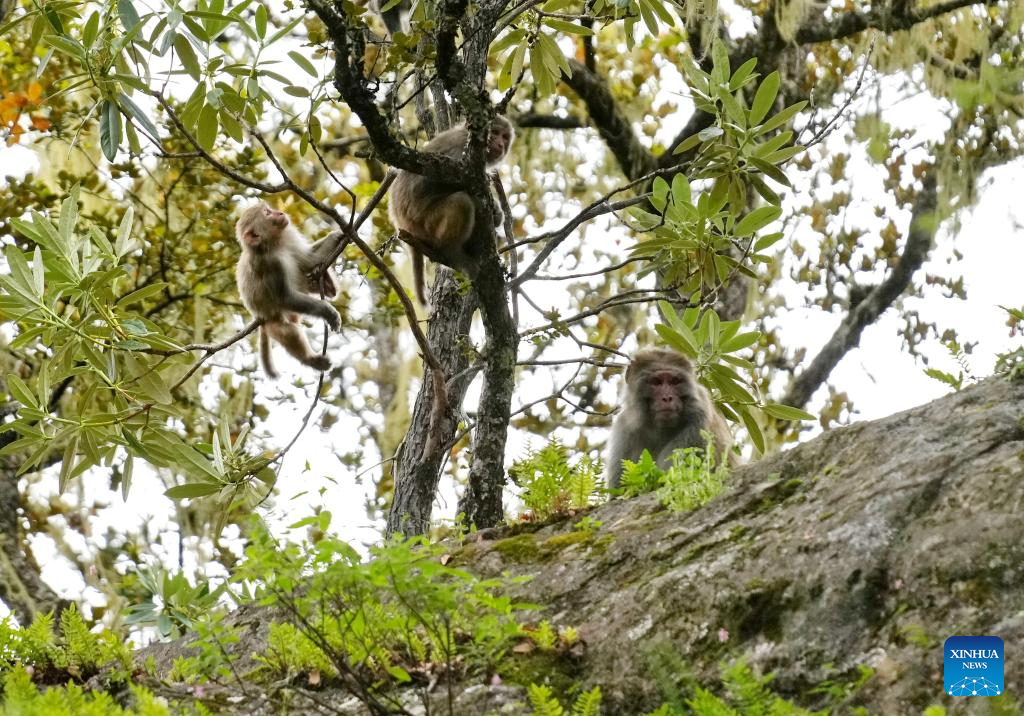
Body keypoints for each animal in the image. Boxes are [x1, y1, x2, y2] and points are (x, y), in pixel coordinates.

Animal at [234, 202, 342, 381]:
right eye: (267, 213)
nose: (279, 212)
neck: (274, 244)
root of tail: (259, 317)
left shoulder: (288, 239)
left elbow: (309, 259)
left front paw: (339, 235)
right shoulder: (270, 264)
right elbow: (285, 298)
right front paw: (328, 312)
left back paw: (327, 284)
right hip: (272, 319)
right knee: (289, 331)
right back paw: (311, 360)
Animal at [387, 114, 516, 303]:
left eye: (505, 137)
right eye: (495, 133)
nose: (500, 144)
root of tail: (400, 223)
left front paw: (497, 213)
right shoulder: (461, 148)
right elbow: (434, 179)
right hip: (424, 223)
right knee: (462, 202)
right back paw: (452, 252)